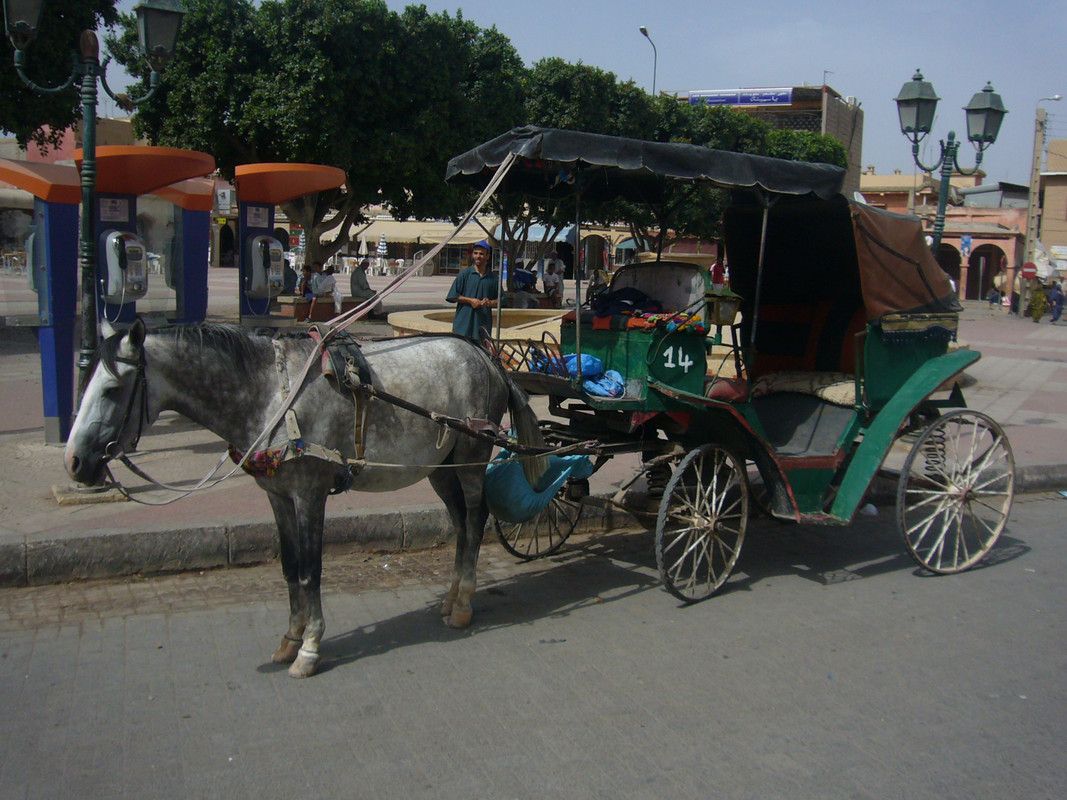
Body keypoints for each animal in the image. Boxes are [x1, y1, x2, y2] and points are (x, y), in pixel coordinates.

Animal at [63, 320, 546, 678]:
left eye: (111, 390)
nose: (74, 462)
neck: (272, 393)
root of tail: (488, 358)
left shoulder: (310, 494)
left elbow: (311, 570)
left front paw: (310, 647)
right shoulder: (278, 495)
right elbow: (290, 566)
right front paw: (290, 638)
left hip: (470, 457)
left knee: (477, 519)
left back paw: (463, 604)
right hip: (439, 468)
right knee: (462, 524)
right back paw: (451, 596)